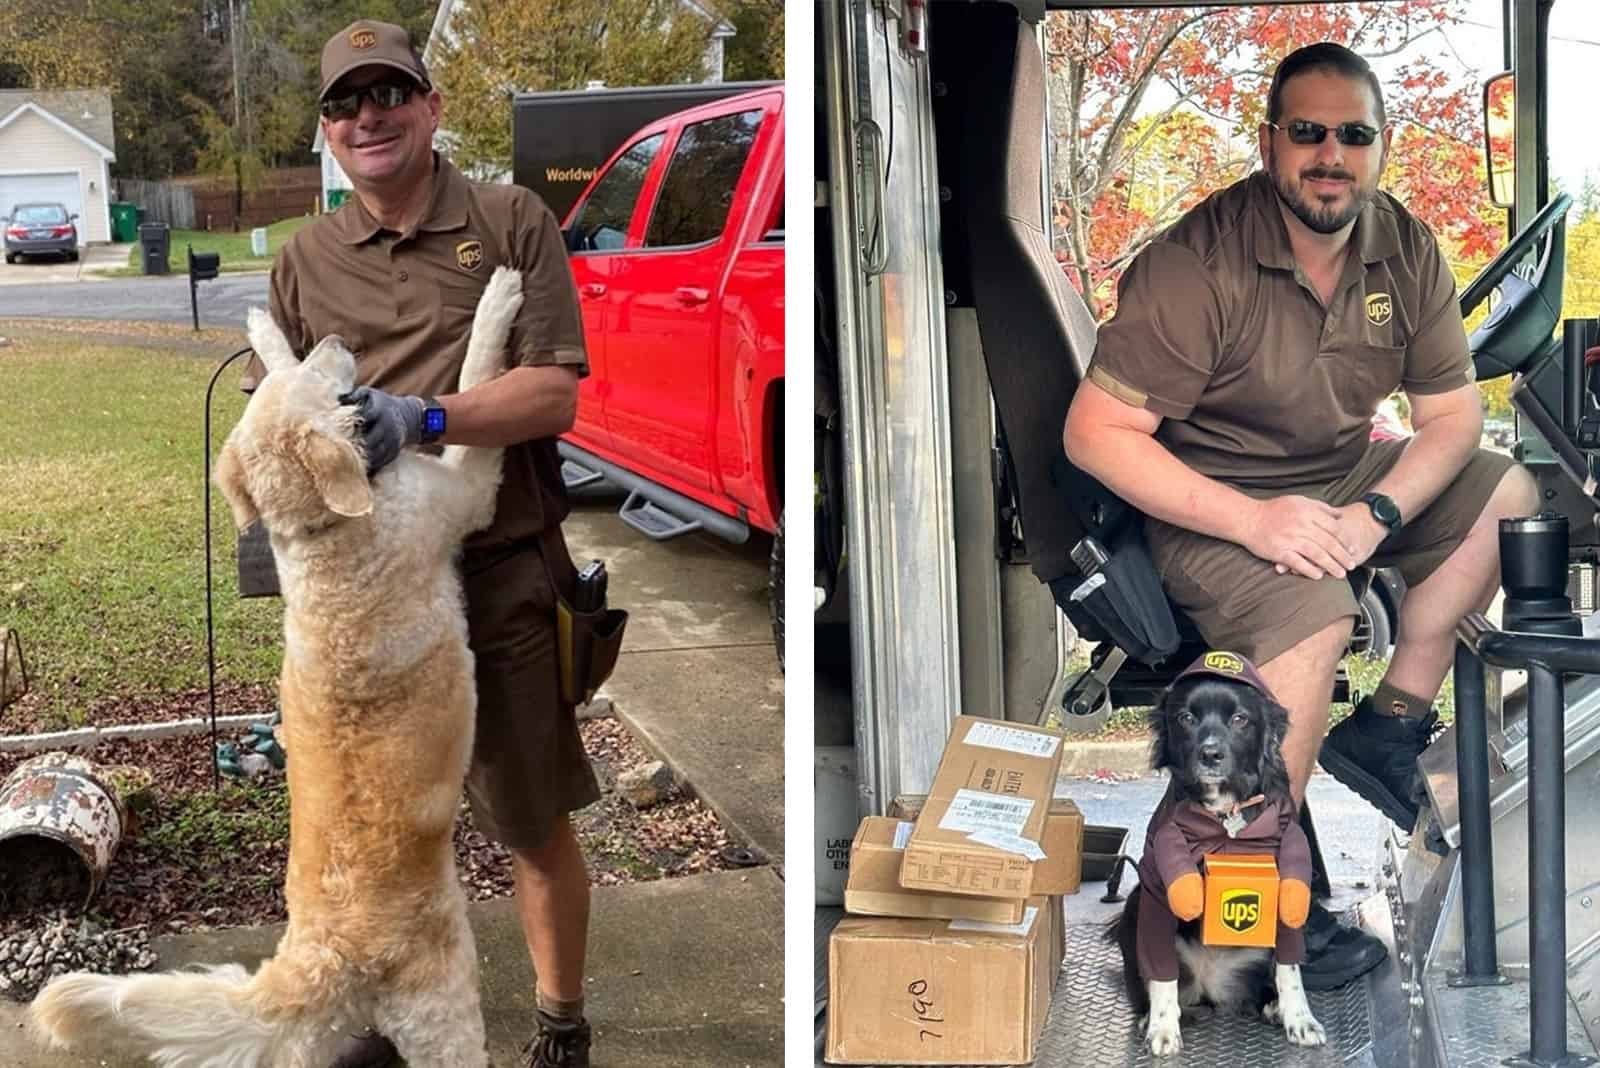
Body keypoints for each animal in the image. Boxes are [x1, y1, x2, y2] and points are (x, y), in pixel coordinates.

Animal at [28, 267, 524, 1068]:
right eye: (325, 379)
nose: (335, 338)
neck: (320, 529)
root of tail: (320, 956)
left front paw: (264, 327)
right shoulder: (465, 489)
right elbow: (477, 370)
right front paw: (498, 300)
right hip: (446, 1013)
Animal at [1113, 655, 1324, 1055]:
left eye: (1240, 719)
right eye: (1186, 718)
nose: (1210, 754)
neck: (1225, 814)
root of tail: (1209, 983)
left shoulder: (1290, 886)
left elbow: (1290, 970)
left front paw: (1300, 1019)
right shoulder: (1155, 892)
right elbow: (1161, 976)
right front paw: (1163, 1027)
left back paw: (1272, 1007)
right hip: (1134, 905)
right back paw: (1150, 1016)